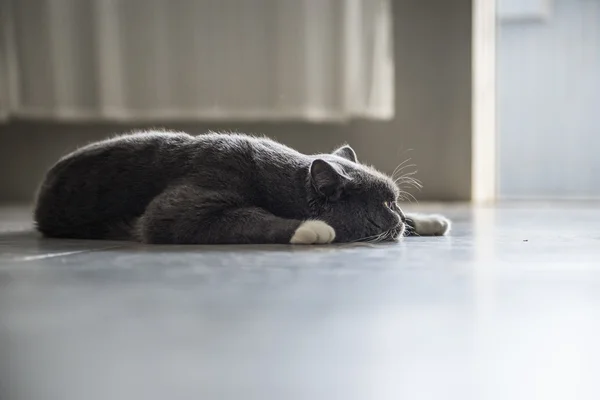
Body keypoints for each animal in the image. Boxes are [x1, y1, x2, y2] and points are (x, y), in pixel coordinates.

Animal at [34, 131, 450, 244]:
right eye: (386, 204)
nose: (398, 213)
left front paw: (428, 220)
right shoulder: (184, 203)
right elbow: (252, 218)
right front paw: (314, 229)